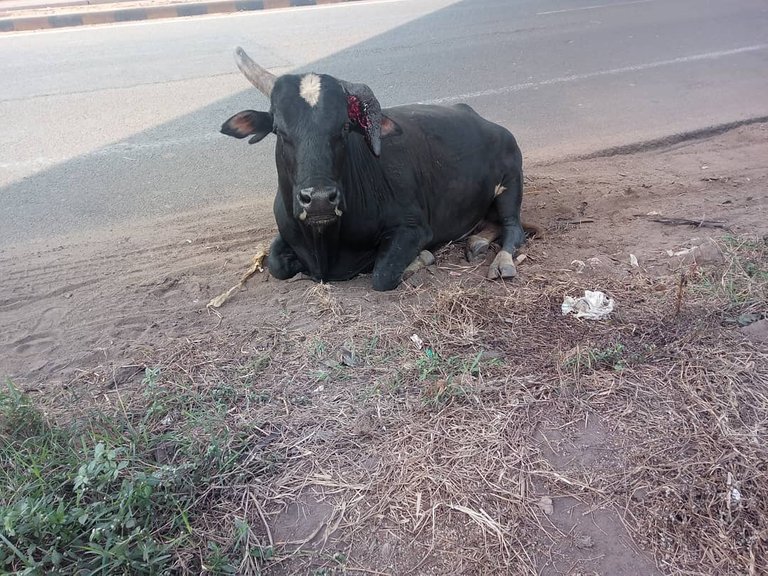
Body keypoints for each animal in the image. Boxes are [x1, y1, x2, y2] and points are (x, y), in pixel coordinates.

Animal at [222, 47, 536, 292]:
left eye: (344, 127)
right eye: (279, 130)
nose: (320, 200)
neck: (324, 245)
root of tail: (488, 123)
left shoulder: (413, 229)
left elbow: (382, 274)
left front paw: (423, 258)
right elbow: (275, 264)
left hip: (511, 184)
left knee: (513, 228)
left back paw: (502, 262)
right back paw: (477, 241)